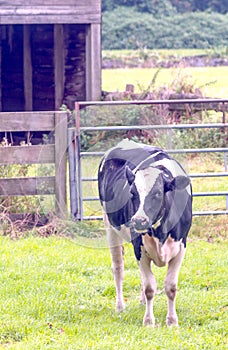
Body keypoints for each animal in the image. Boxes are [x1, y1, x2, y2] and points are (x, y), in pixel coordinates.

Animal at [98, 138, 192, 326]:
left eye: (157, 194)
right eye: (132, 193)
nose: (139, 220)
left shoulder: (181, 247)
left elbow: (170, 286)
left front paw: (172, 321)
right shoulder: (138, 247)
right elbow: (149, 287)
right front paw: (149, 321)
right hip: (109, 226)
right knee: (118, 268)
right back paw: (120, 307)